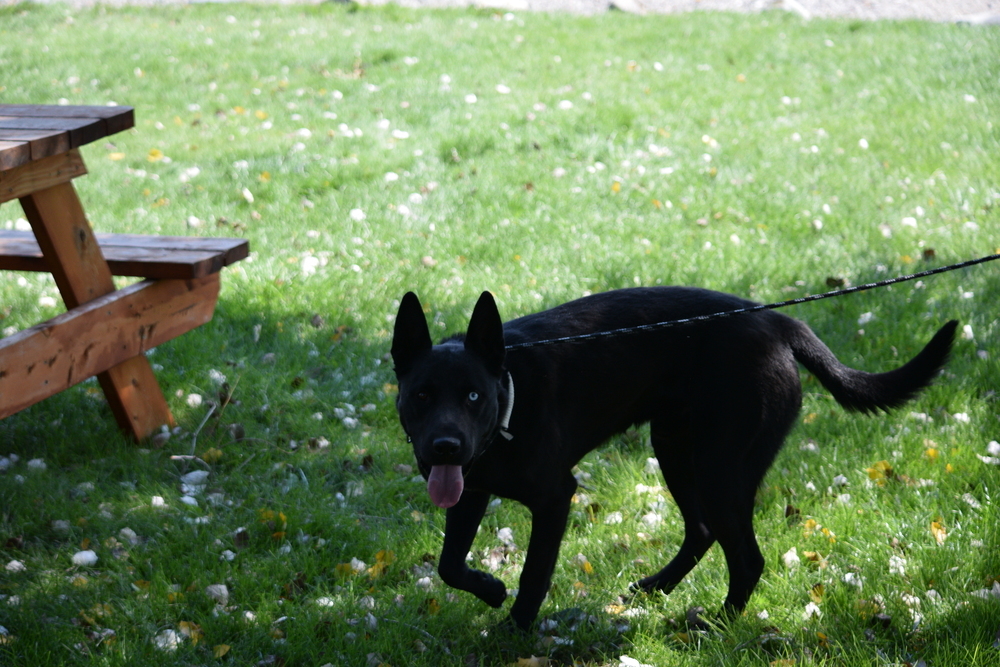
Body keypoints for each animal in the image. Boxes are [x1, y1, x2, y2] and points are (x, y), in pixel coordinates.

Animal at [388, 288, 952, 632]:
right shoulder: (469, 491)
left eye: (473, 396)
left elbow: (533, 574)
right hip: (676, 449)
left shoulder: (554, 498)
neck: (509, 398)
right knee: (701, 532)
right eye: (421, 396)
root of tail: (777, 321)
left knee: (747, 557)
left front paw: (513, 630)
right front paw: (489, 589)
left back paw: (718, 624)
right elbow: (449, 564)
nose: (444, 447)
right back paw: (658, 587)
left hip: (721, 468)